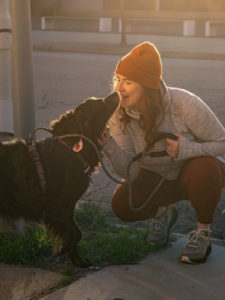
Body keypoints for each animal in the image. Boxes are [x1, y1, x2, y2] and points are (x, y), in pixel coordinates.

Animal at [0, 92, 119, 266]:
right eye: (100, 103)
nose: (116, 93)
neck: (72, 148)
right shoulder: (60, 208)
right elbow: (75, 234)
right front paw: (66, 251)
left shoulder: (67, 208)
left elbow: (76, 233)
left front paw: (75, 259)